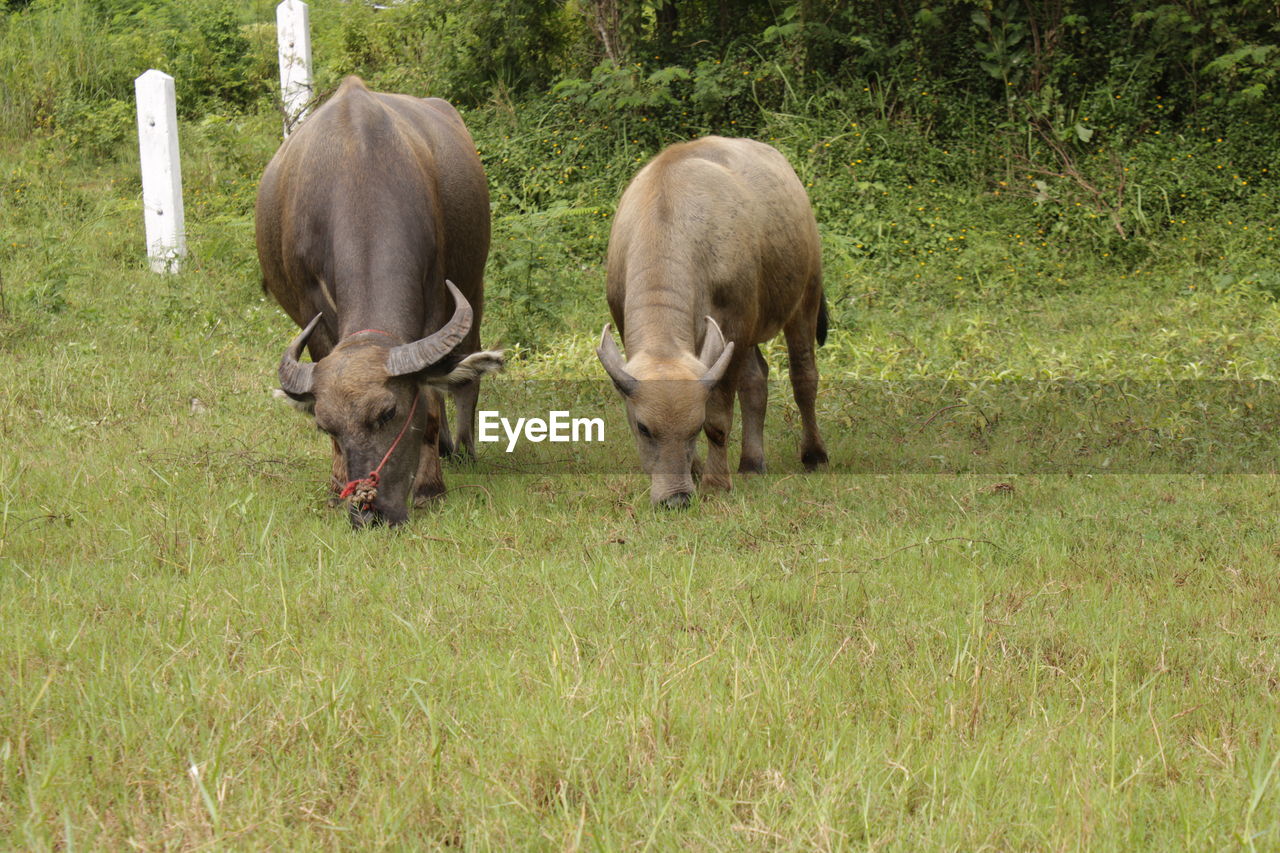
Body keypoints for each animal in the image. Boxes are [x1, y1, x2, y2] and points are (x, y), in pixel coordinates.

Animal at [257, 76, 501, 525]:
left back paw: (462, 448)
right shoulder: (311, 309)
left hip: (474, 281)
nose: (369, 512)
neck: (358, 174)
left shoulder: (436, 297)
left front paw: (429, 487)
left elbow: (432, 399)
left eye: (387, 413)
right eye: (325, 426)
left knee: (466, 372)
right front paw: (336, 485)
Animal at [596, 134, 829, 504]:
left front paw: (716, 482)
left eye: (695, 426)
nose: (675, 498)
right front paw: (697, 470)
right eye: (643, 428)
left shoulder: (733, 325)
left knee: (803, 375)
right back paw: (752, 462)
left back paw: (814, 454)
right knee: (756, 379)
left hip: (805, 296)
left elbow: (719, 419)